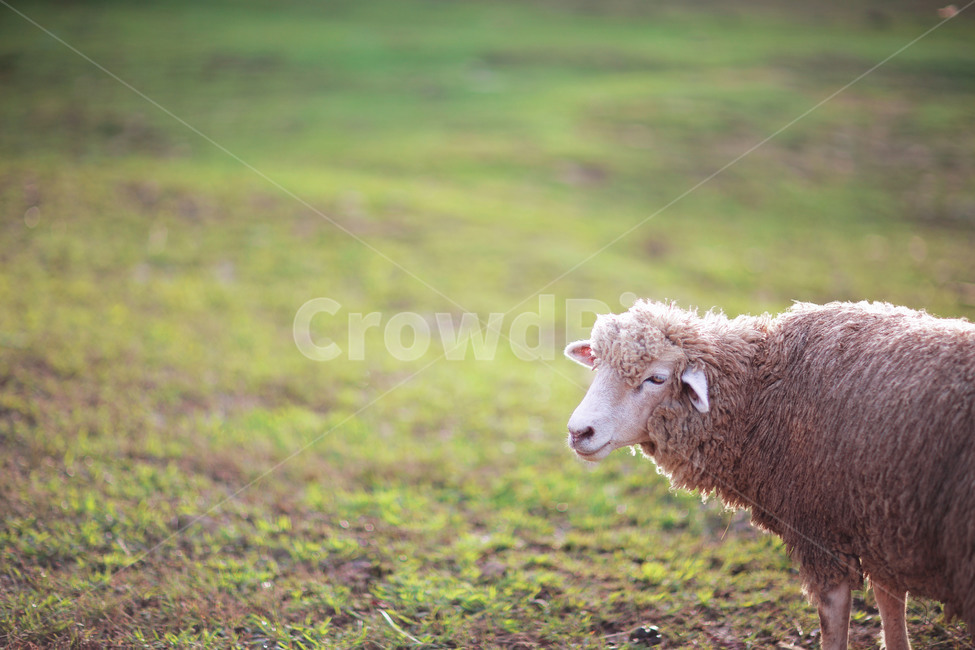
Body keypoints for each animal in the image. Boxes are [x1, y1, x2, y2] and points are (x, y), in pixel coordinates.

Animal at [564, 299, 975, 650]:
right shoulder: (884, 525)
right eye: (597, 365)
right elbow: (890, 607)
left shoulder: (822, 527)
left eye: (657, 378)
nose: (579, 432)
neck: (760, 392)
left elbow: (835, 615)